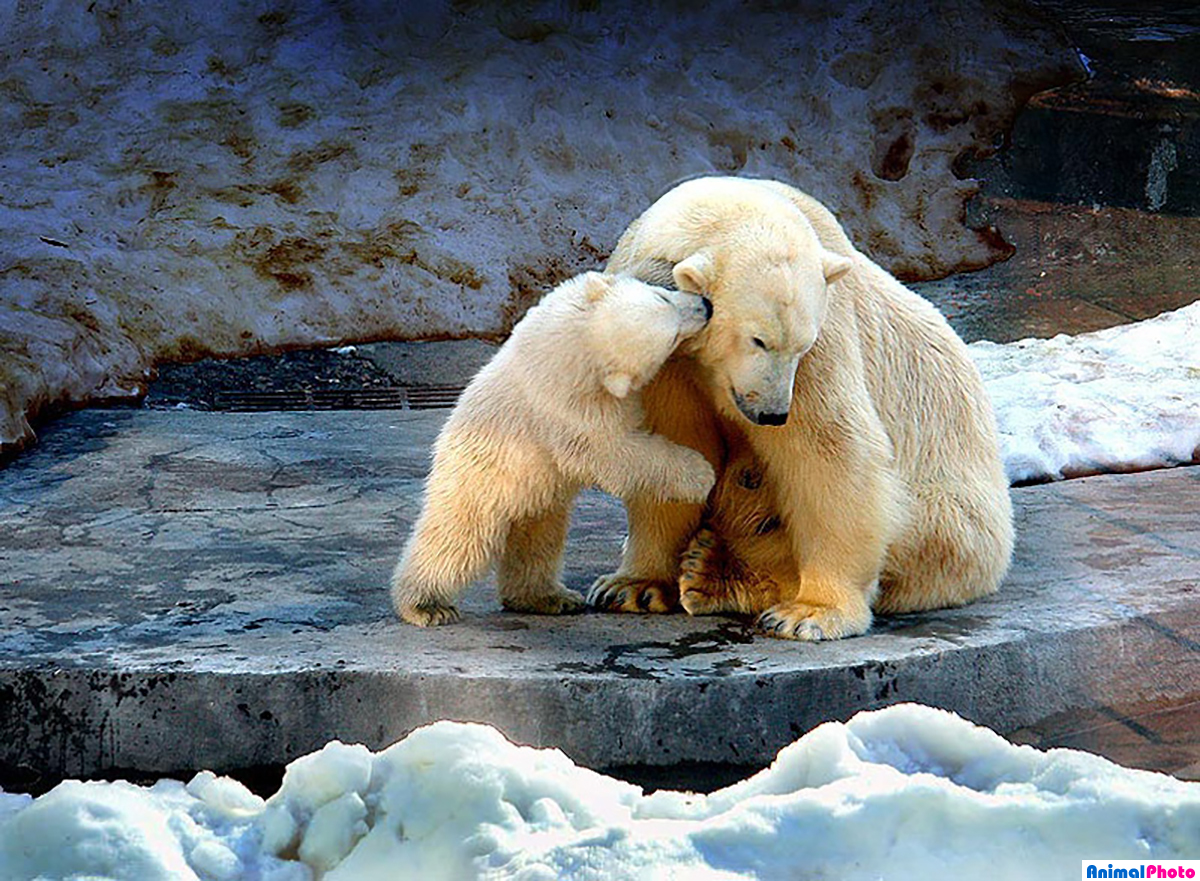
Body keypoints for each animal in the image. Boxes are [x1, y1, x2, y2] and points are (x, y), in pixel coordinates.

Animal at [391, 274, 710, 628]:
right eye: (671, 337)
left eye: (662, 295)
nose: (706, 306)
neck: (579, 339)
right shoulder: (569, 406)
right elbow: (612, 451)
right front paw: (700, 473)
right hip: (477, 482)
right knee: (455, 542)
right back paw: (426, 606)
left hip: (537, 495)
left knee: (538, 542)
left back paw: (548, 597)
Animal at [588, 177, 1012, 643]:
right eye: (757, 339)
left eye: (801, 343)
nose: (774, 414)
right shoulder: (664, 353)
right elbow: (674, 449)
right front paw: (633, 587)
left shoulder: (825, 342)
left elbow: (829, 454)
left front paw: (813, 612)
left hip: (956, 513)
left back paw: (716, 571)